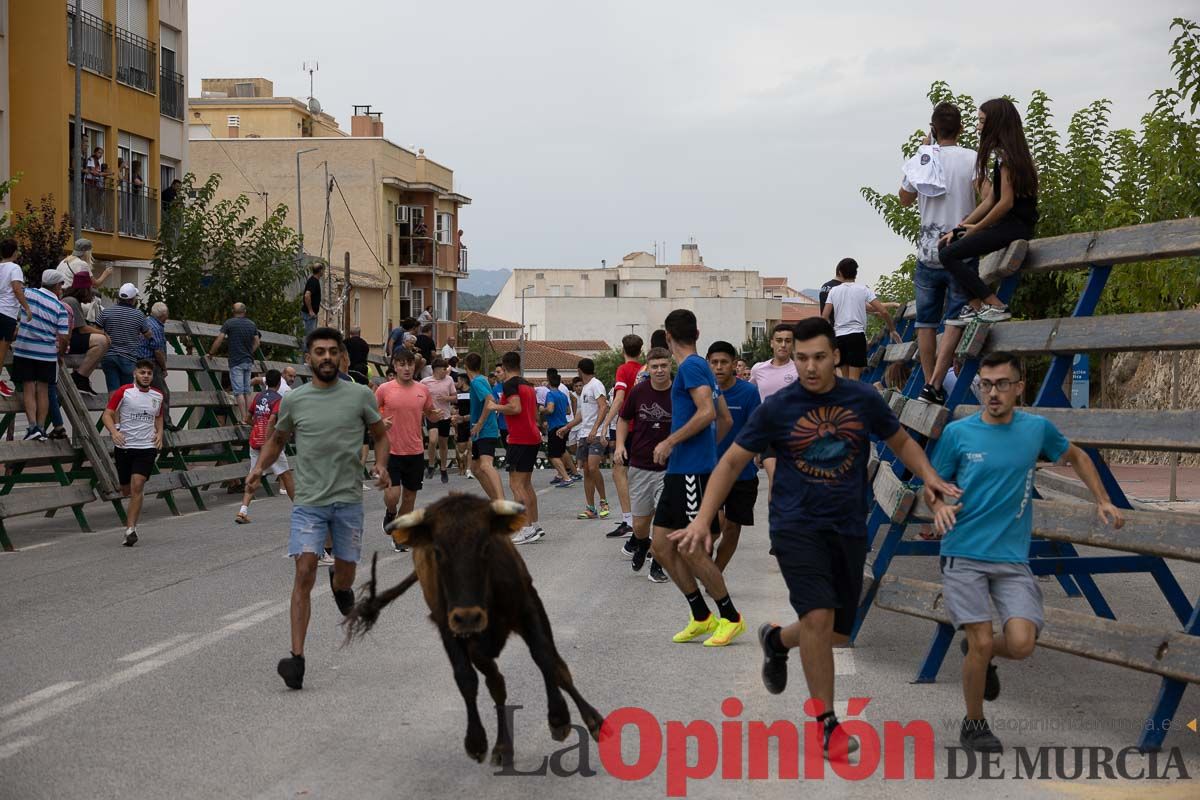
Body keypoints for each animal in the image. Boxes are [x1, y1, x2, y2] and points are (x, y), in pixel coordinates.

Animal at [343, 494, 604, 762]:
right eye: (438, 551)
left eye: (486, 546)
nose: (469, 616)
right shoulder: (449, 627)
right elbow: (466, 679)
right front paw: (476, 740)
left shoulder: (528, 607)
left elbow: (546, 659)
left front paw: (559, 718)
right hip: (475, 646)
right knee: (496, 683)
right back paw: (502, 746)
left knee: (554, 666)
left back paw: (592, 721)